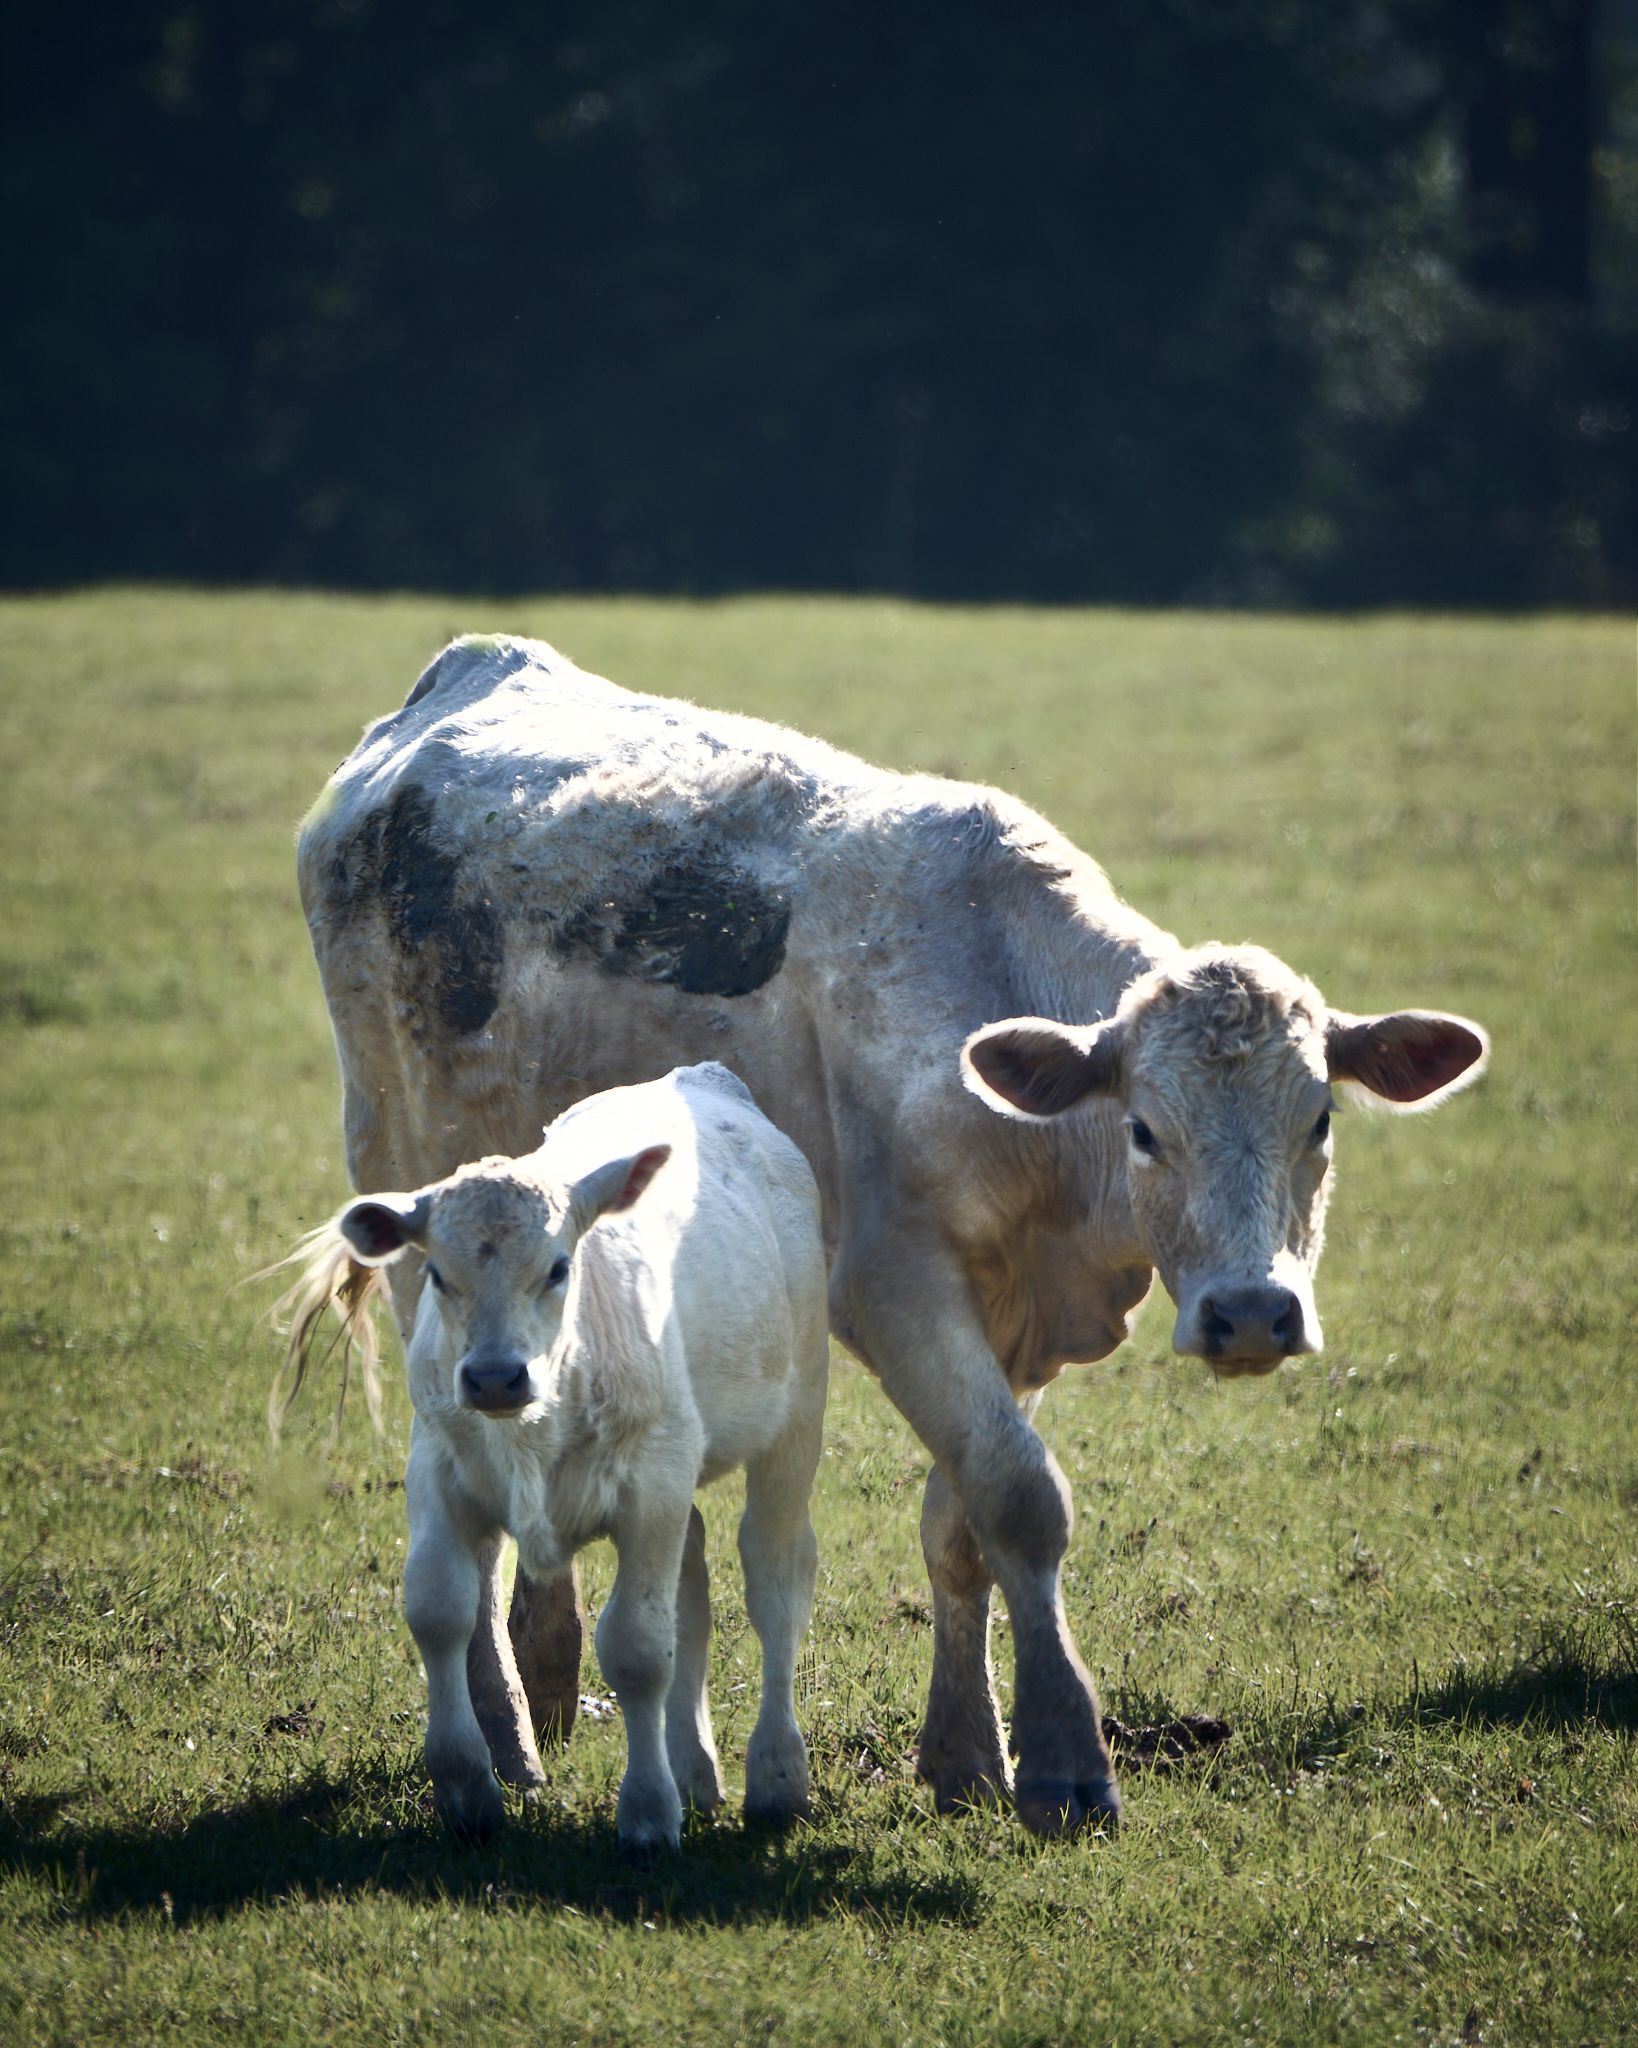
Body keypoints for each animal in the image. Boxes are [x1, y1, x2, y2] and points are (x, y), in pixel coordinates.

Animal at [280, 1061, 829, 1848]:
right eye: (438, 1275)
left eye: (558, 1267)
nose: (494, 1377)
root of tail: (703, 1076)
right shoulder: (438, 1469)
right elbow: (439, 1610)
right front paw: (466, 1789)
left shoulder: (650, 1486)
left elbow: (637, 1647)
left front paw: (647, 1813)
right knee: (692, 1587)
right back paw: (695, 1770)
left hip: (793, 1422)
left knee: (775, 1581)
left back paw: (778, 1775)